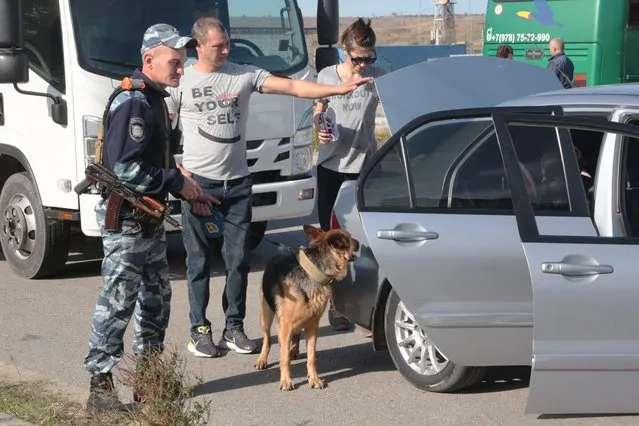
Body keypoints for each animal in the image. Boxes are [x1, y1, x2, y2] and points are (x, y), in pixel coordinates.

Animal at [254, 225, 360, 392]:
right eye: (348, 239)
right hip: (266, 316)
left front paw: (314, 379)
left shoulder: (312, 326)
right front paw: (286, 381)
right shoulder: (284, 325)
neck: (314, 272)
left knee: (295, 334)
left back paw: (293, 350)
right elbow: (284, 358)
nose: (360, 244)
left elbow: (311, 357)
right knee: (268, 339)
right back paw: (263, 359)